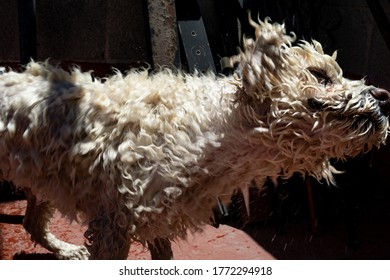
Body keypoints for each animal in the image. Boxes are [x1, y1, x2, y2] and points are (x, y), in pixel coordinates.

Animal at [0, 18, 388, 260]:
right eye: (319, 75)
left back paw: (63, 249)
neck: (210, 133)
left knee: (31, 222)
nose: (383, 95)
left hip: (42, 177)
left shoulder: (153, 219)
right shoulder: (114, 225)